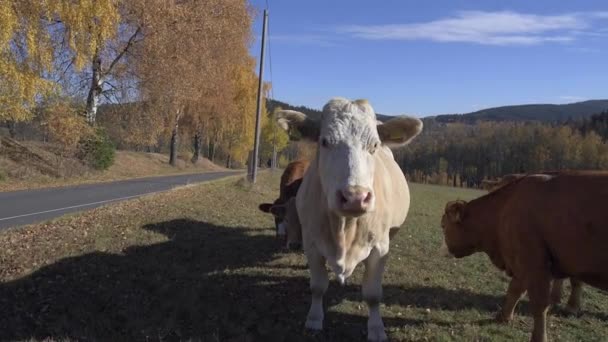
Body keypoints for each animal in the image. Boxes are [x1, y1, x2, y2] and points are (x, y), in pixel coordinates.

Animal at [276, 97, 422, 342]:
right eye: (324, 141)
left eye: (374, 145)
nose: (355, 197)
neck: (344, 228)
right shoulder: (311, 243)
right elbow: (318, 286)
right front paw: (314, 319)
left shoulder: (380, 248)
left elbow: (372, 294)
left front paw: (376, 328)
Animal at [442, 172, 608, 340]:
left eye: (443, 226)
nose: (447, 249)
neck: (504, 208)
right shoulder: (521, 264)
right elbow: (514, 290)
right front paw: (503, 317)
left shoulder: (533, 264)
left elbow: (539, 304)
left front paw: (539, 337)